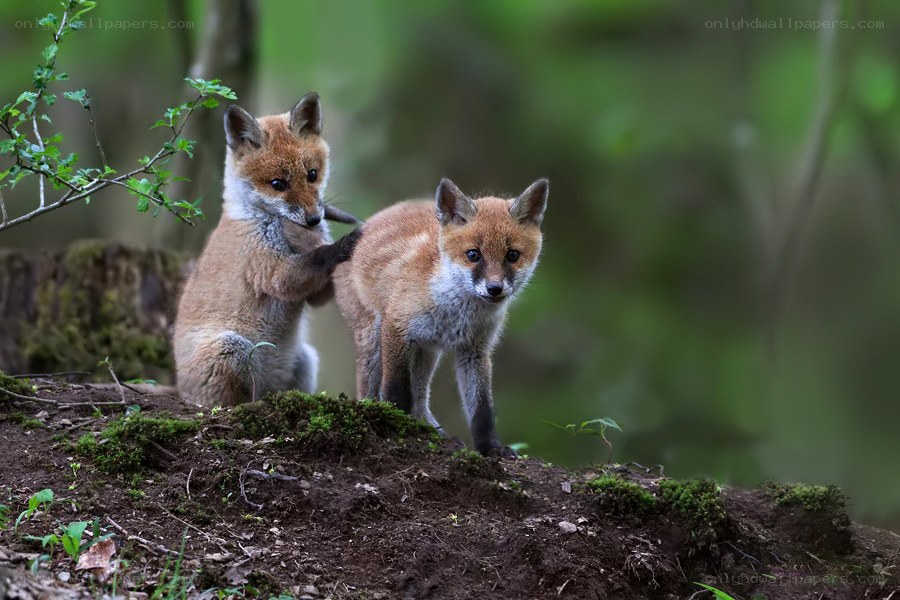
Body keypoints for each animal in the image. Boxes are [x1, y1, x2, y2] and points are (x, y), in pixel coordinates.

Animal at [174, 93, 360, 408]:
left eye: (312, 175)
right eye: (277, 184)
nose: (314, 219)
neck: (258, 219)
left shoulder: (314, 293)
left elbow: (319, 289)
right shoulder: (266, 269)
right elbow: (310, 262)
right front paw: (346, 242)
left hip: (305, 359)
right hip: (232, 350)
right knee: (231, 402)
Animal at [333, 177, 548, 455]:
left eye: (512, 255)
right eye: (473, 254)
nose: (495, 289)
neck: (456, 313)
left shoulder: (475, 350)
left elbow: (481, 409)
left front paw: (491, 448)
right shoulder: (396, 327)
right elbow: (396, 391)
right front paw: (396, 426)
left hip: (427, 352)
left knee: (421, 397)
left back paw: (432, 431)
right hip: (373, 339)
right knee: (370, 390)